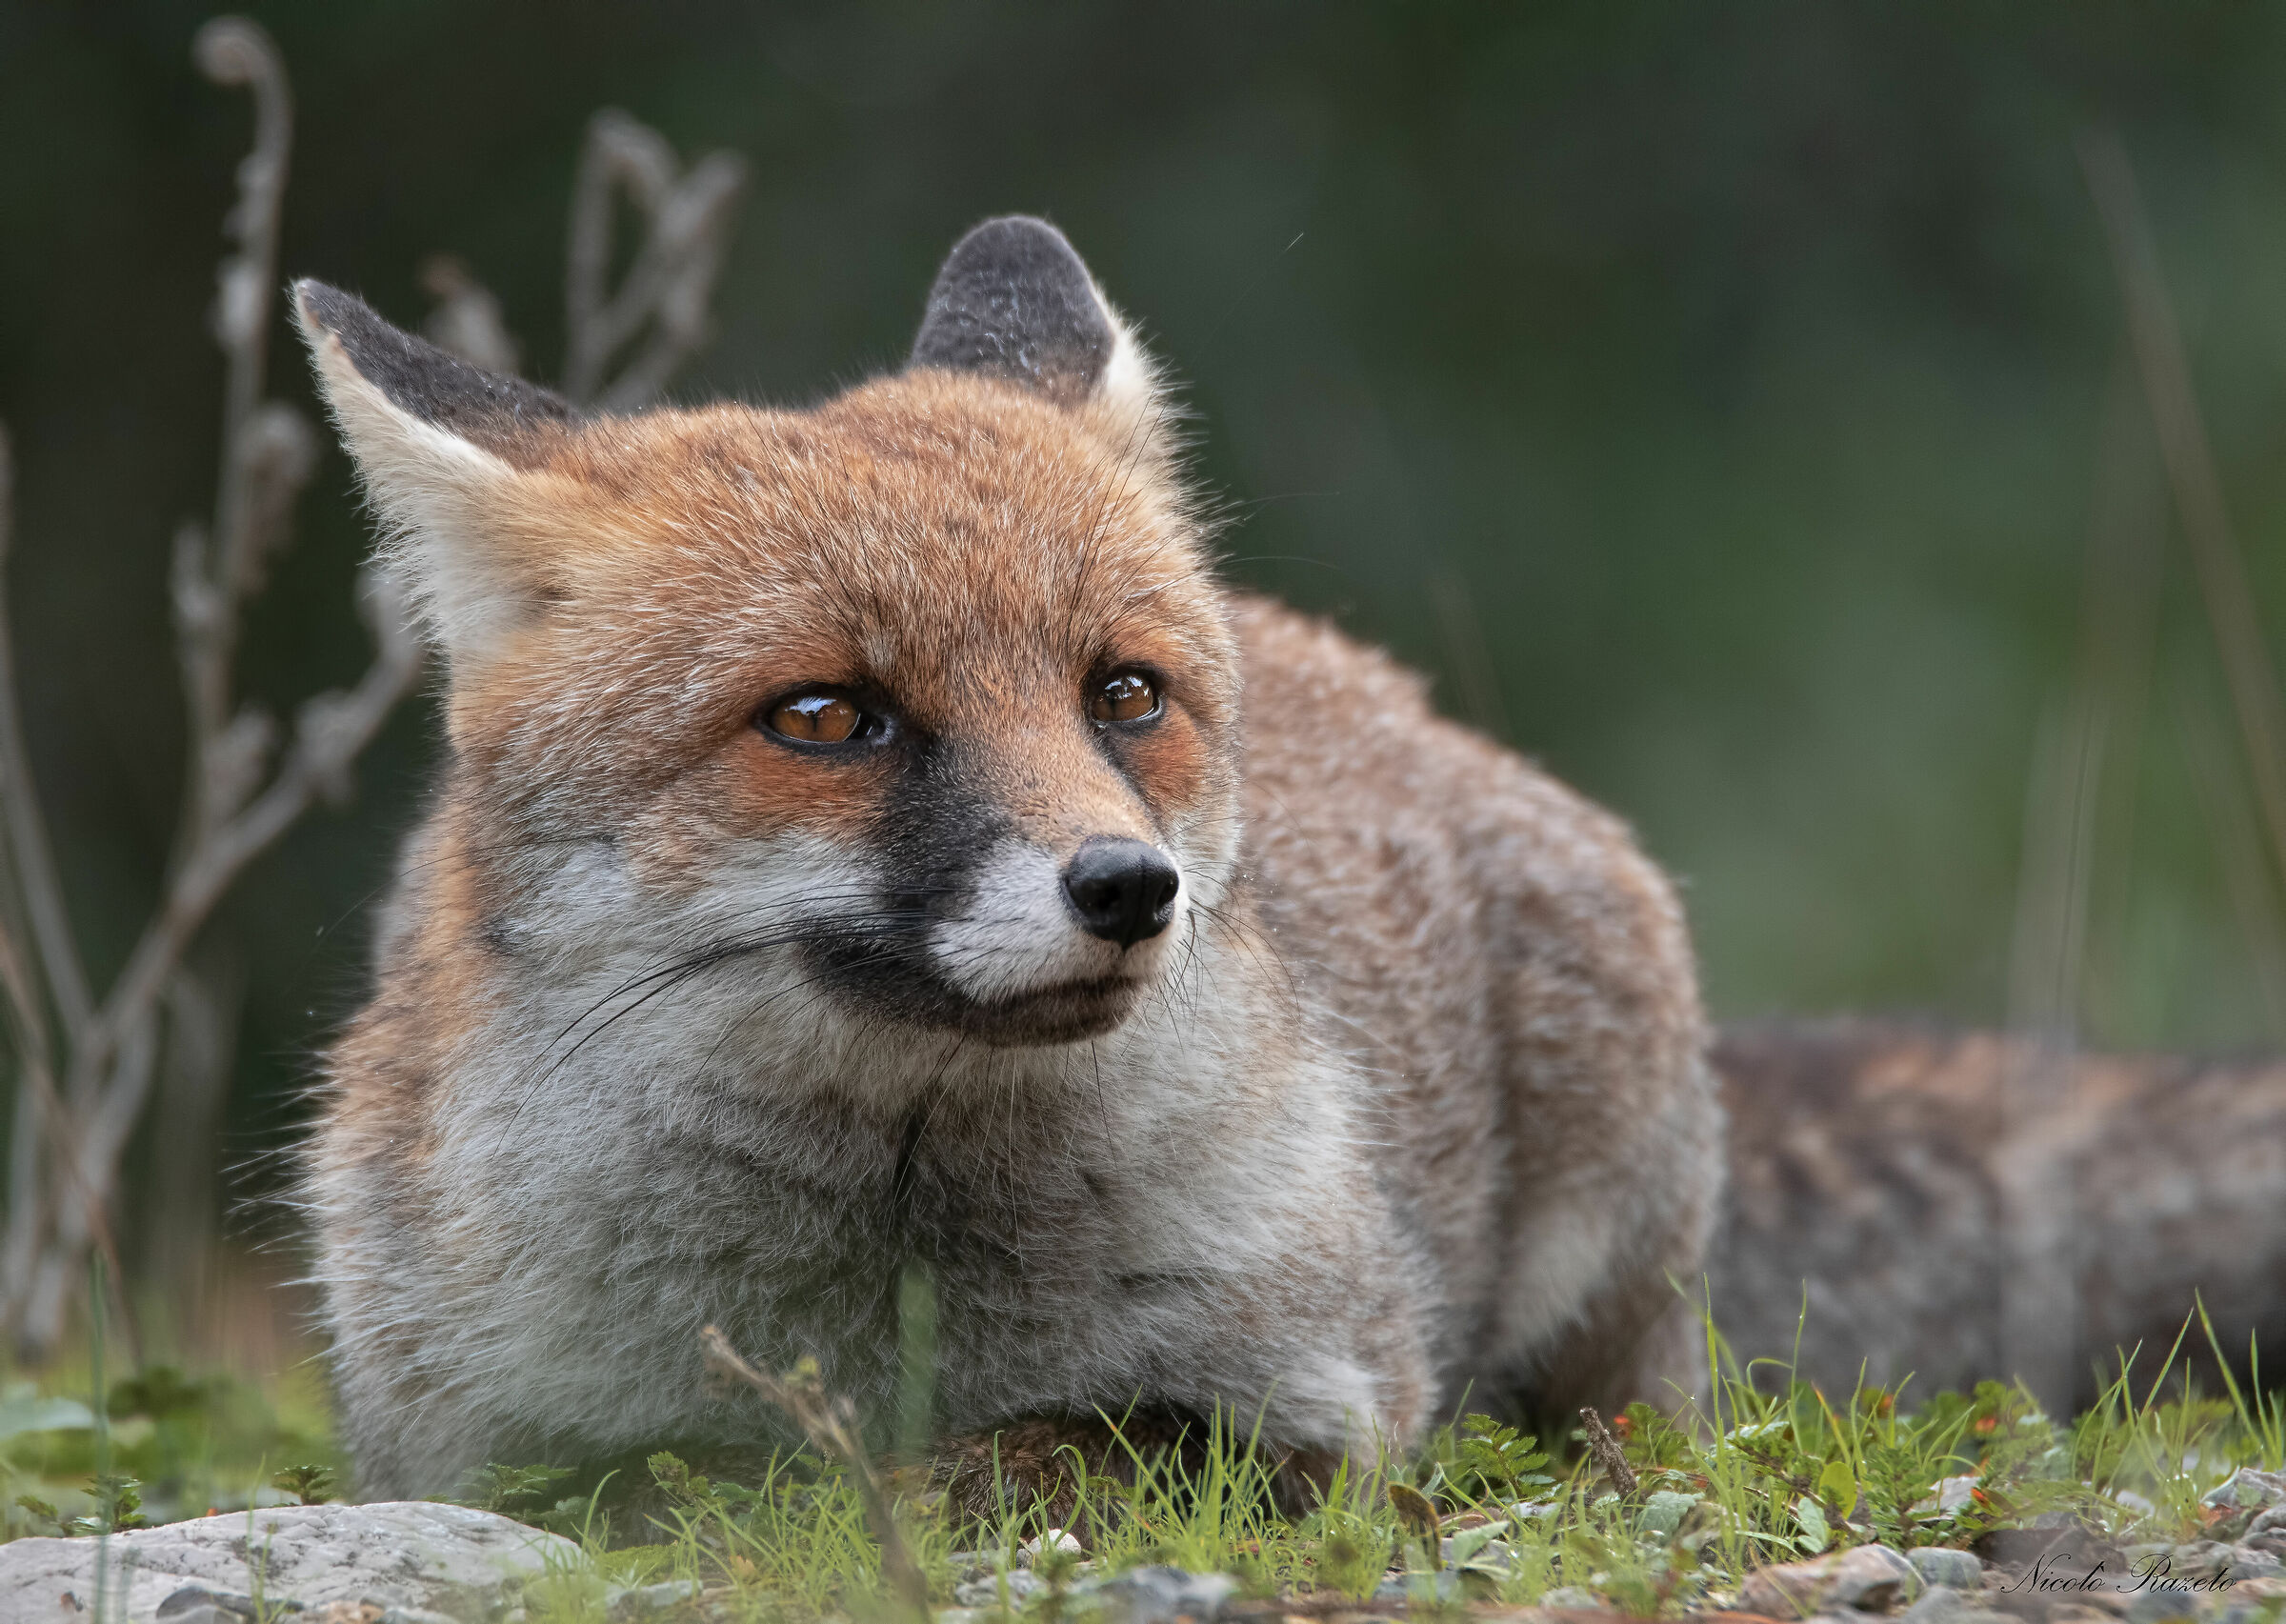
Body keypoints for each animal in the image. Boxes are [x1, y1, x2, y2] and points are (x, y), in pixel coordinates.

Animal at [293, 215, 1722, 1508]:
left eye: (1126, 694)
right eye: (824, 717)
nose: (1130, 885)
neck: (902, 1300)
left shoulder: (1328, 1396)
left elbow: (1036, 1451)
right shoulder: (463, 1445)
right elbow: (673, 1481)